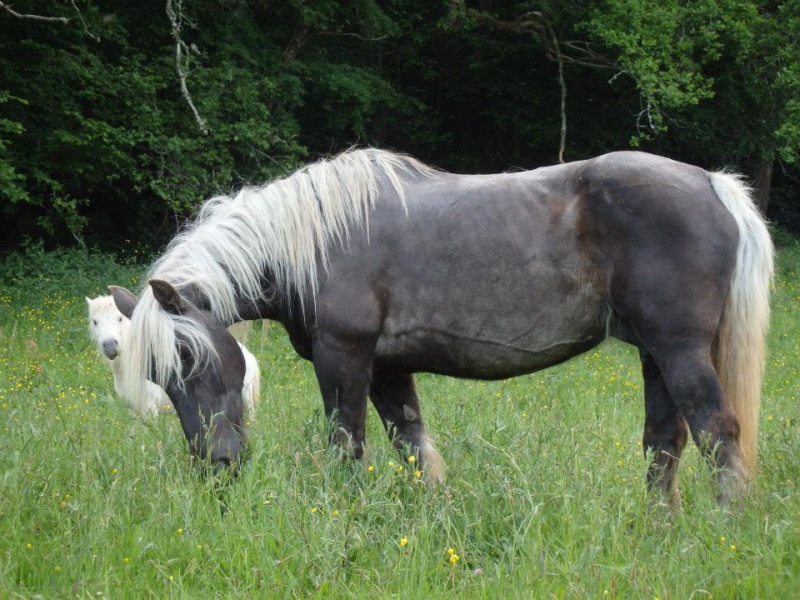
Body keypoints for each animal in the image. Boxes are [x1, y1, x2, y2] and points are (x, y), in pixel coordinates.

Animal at [109, 148, 772, 504]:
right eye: (159, 377)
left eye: (189, 360)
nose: (217, 466)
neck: (317, 241)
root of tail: (711, 183)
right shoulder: (387, 369)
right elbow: (413, 448)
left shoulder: (343, 358)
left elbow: (347, 446)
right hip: (654, 355)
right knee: (664, 443)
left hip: (680, 352)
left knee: (717, 432)